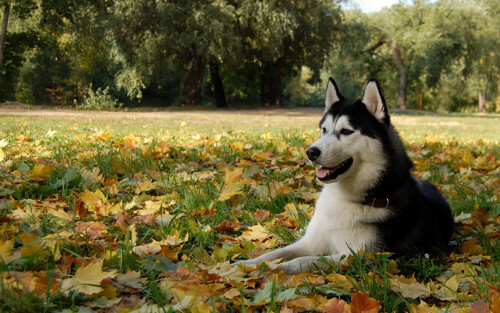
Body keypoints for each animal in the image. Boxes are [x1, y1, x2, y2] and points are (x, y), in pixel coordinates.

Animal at [234, 77, 454, 272]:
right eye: (324, 129)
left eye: (346, 131)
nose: (310, 152)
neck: (345, 197)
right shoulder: (310, 242)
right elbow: (274, 254)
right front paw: (245, 264)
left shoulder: (362, 255)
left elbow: (306, 261)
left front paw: (276, 270)